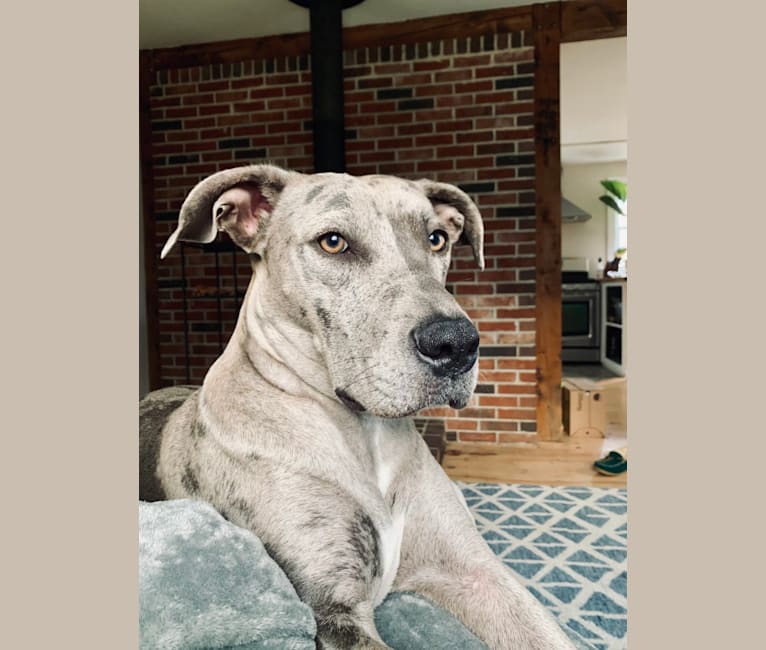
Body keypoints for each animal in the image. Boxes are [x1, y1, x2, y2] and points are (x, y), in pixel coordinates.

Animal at [140, 166, 576, 648]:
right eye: (333, 242)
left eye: (437, 239)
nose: (457, 344)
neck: (367, 436)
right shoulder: (331, 608)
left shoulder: (477, 571)